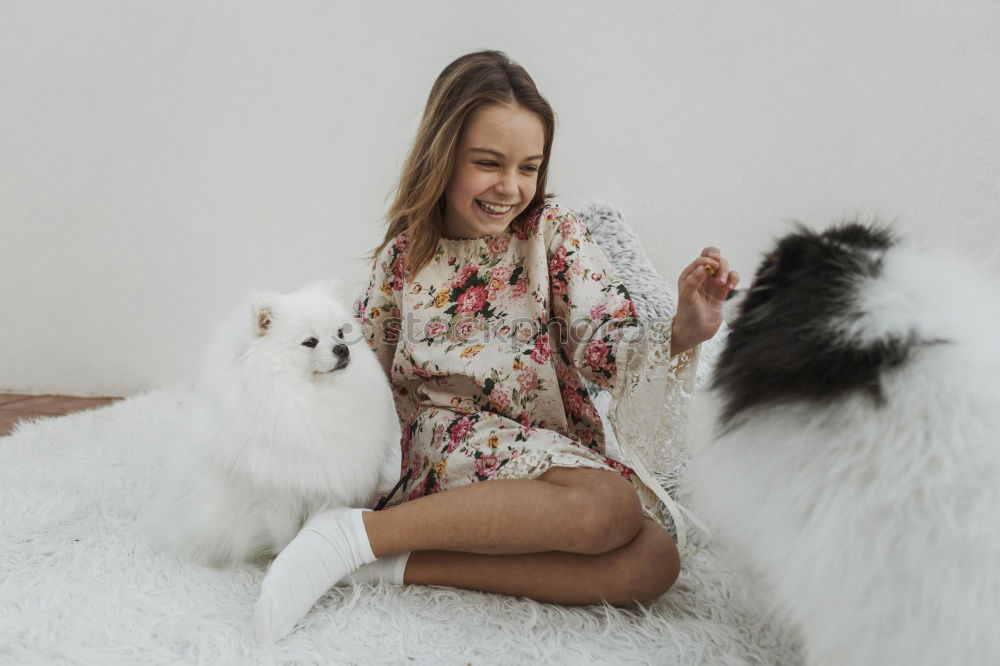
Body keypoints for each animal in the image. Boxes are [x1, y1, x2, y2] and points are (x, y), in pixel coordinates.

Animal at [146, 278, 400, 564]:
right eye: (310, 342)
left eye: (341, 333)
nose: (342, 348)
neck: (310, 397)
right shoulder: (278, 498)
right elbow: (287, 536)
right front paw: (283, 558)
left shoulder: (322, 484)